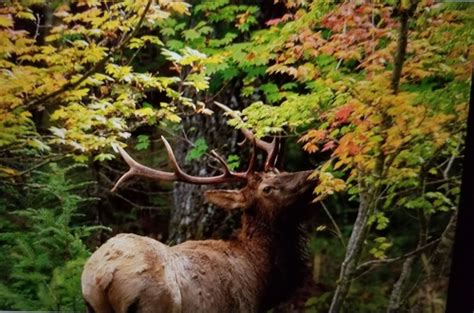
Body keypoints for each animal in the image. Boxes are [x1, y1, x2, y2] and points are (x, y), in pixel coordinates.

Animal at [82, 105, 318, 312]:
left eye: (281, 171)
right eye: (267, 189)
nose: (311, 175)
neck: (260, 280)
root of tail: (103, 276)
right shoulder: (241, 307)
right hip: (155, 303)